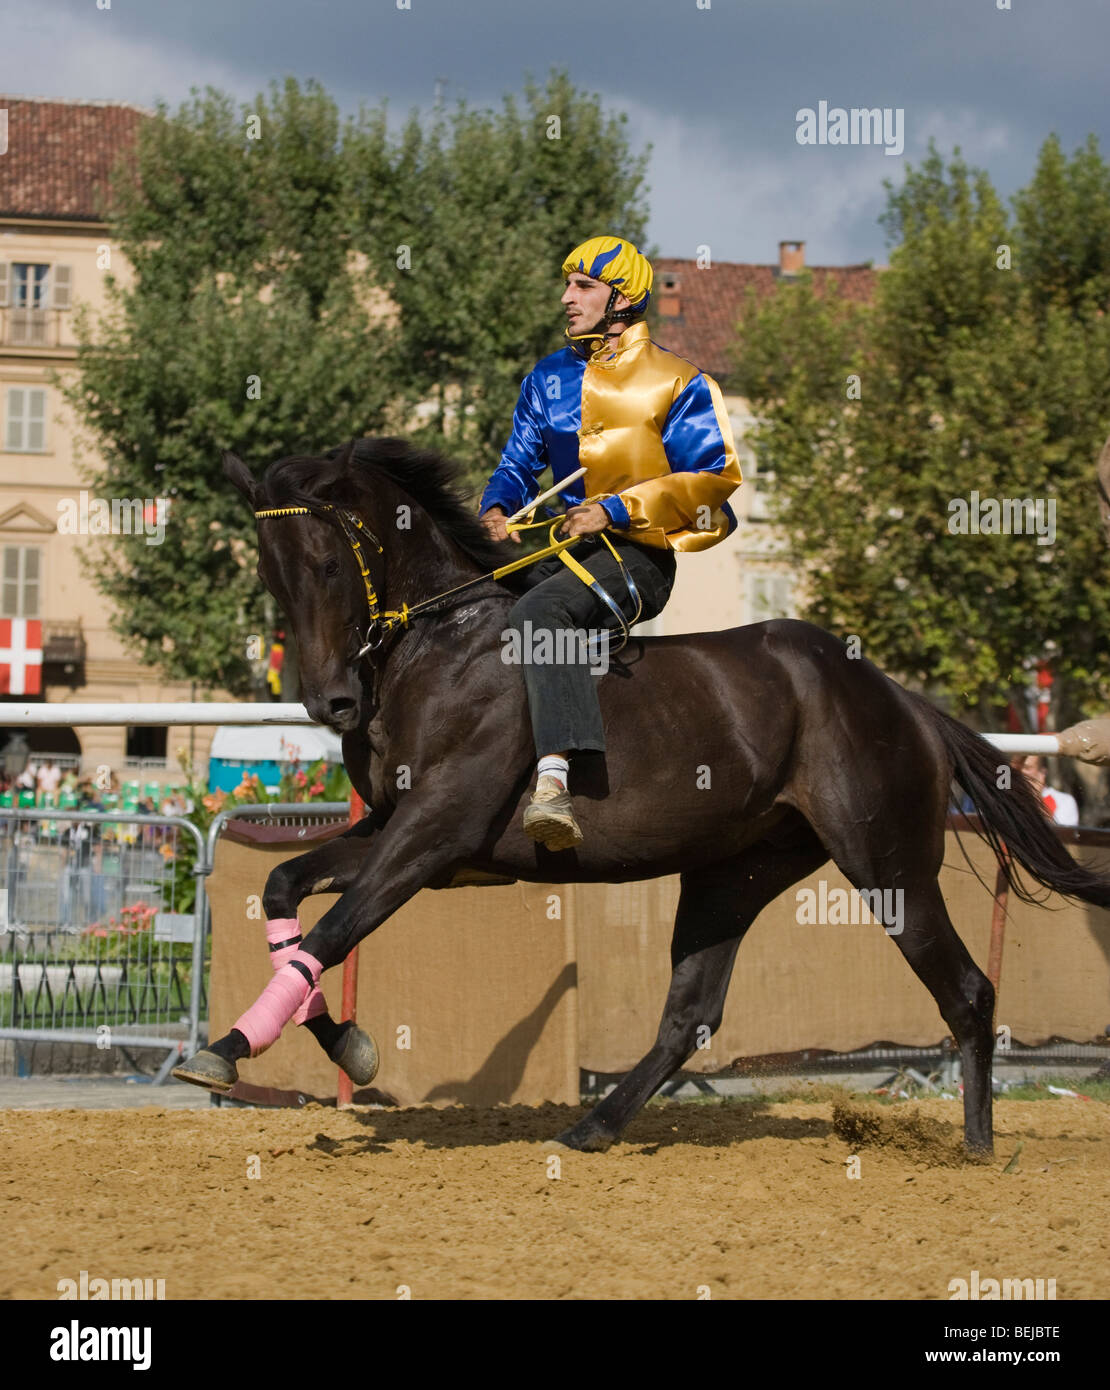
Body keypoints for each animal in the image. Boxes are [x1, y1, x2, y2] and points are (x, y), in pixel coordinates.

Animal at [173, 436, 1110, 1150]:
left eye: (329, 563)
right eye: (272, 574)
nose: (331, 702)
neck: (443, 646)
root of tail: (901, 699)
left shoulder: (438, 831)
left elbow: (332, 930)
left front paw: (239, 1045)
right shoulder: (403, 833)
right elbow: (285, 890)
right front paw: (329, 1042)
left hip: (889, 865)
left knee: (967, 991)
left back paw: (977, 1147)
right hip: (734, 873)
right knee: (690, 1014)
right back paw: (594, 1124)